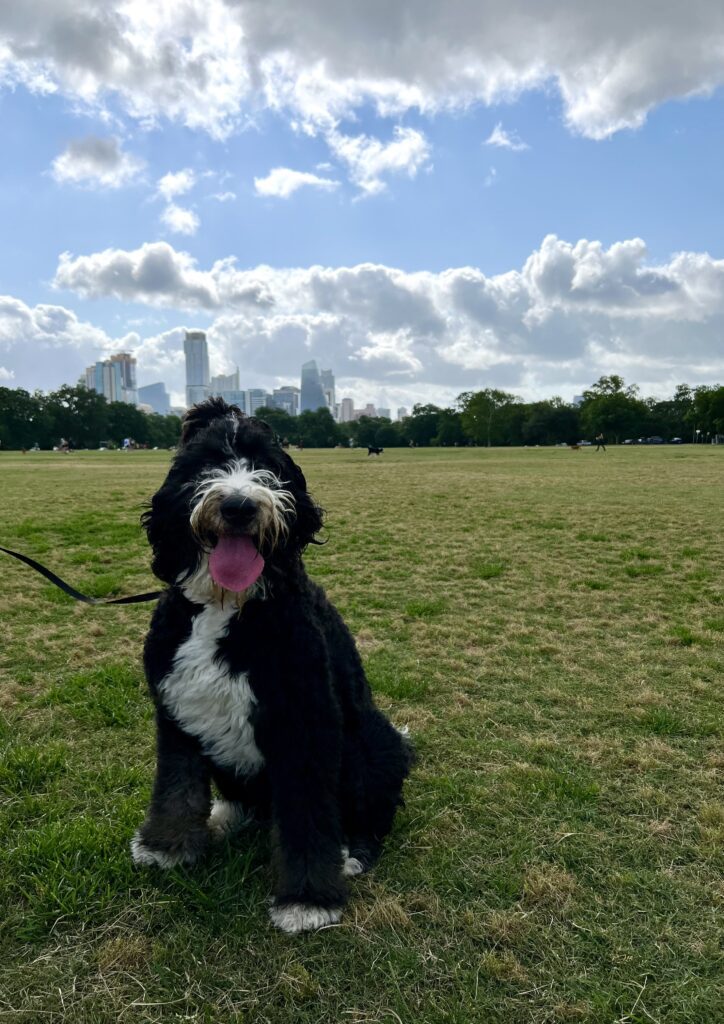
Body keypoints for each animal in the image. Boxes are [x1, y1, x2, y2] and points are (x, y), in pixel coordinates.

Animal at [131, 395, 413, 933]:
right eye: (208, 462)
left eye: (268, 466)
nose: (239, 506)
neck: (227, 606)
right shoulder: (176, 711)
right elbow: (177, 787)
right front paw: (168, 846)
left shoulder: (304, 724)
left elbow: (306, 818)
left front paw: (307, 899)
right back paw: (226, 815)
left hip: (371, 746)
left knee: (372, 813)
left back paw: (353, 853)